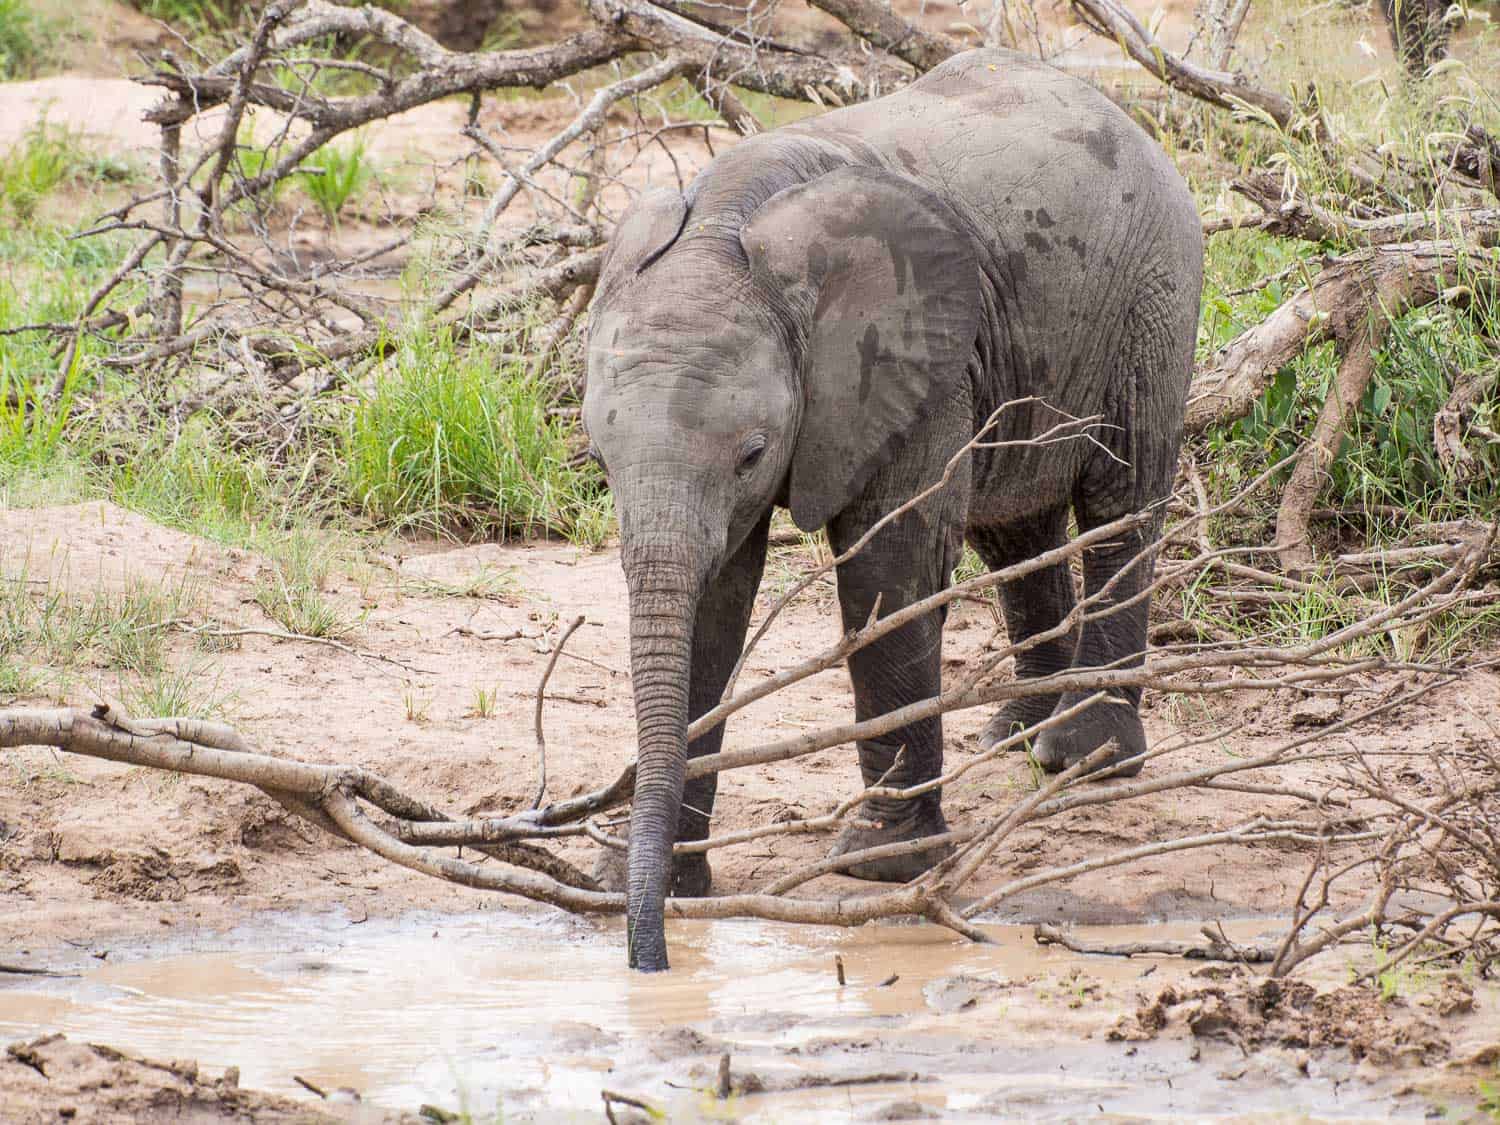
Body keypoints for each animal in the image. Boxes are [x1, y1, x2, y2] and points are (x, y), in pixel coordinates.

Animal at [579, 48, 1200, 972]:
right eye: (599, 459)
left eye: (753, 453)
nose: (648, 963)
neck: (730, 218)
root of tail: (1132, 118)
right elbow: (715, 607)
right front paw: (648, 877)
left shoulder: (912, 363)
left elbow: (889, 567)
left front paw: (878, 865)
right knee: (1012, 527)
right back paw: (1016, 732)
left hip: (1152, 298)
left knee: (1118, 502)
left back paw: (1081, 753)